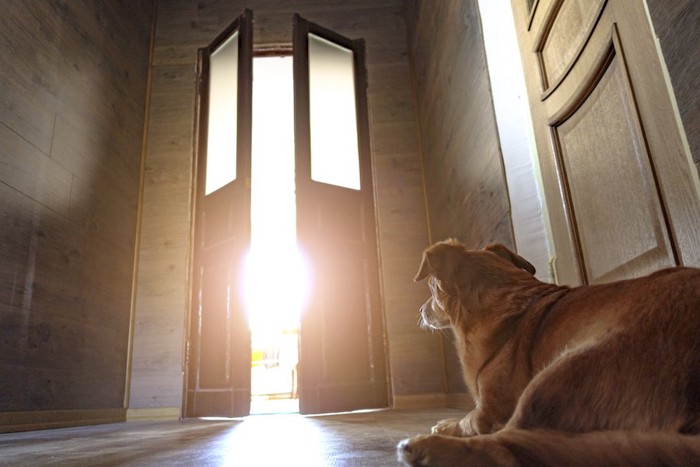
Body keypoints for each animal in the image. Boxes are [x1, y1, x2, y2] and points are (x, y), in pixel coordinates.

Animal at [400, 241, 700, 467]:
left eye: (432, 288)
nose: (420, 311)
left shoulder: (489, 412)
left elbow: (466, 420)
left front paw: (445, 425)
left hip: (562, 369)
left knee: (508, 447)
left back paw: (425, 448)